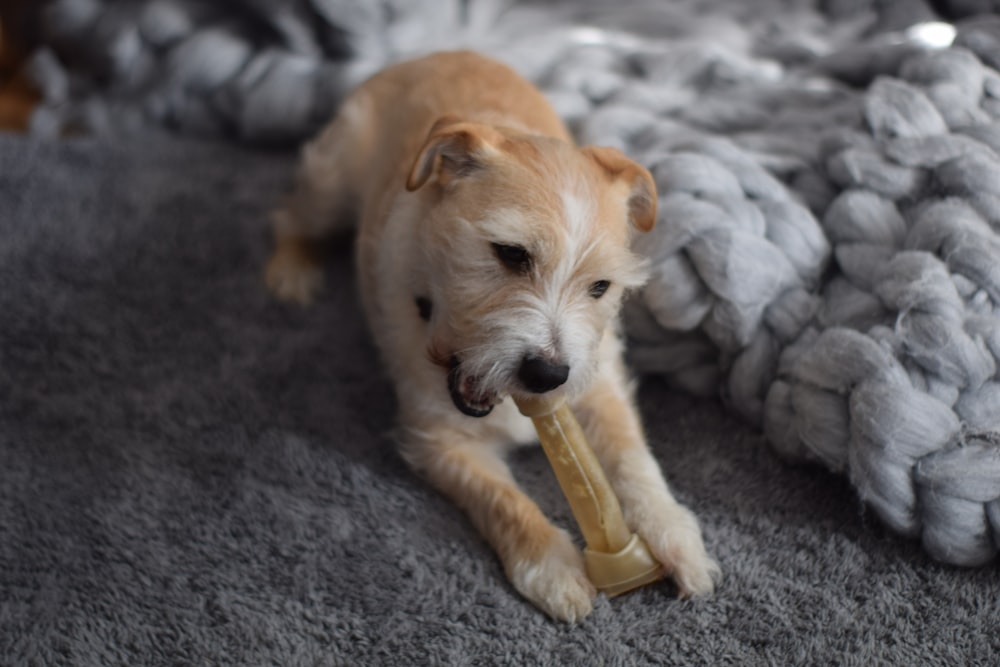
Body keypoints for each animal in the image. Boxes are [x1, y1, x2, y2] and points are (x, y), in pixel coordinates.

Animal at [266, 51, 720, 620]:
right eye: (510, 254)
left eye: (600, 287)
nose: (546, 375)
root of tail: (431, 54)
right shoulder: (438, 439)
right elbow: (503, 501)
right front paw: (552, 569)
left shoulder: (599, 378)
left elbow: (631, 455)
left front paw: (672, 531)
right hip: (332, 179)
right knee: (290, 213)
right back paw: (291, 271)